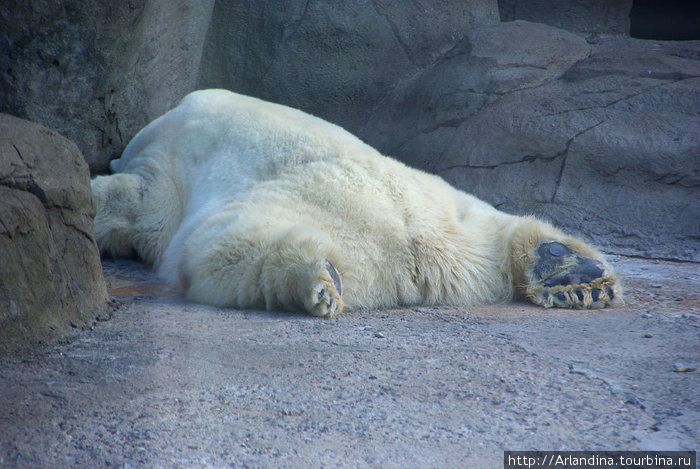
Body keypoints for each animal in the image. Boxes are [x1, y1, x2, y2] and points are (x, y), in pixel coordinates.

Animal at [91, 88, 616, 314]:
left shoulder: (165, 171)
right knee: (490, 228)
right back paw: (572, 272)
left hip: (303, 198)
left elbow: (135, 205)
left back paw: (311, 279)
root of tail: (413, 248)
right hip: (442, 207)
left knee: (228, 247)